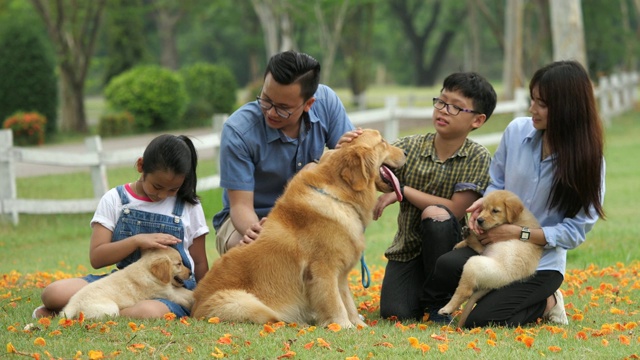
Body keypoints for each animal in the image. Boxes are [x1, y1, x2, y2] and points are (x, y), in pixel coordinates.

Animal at [62, 248, 192, 318]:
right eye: (179, 264)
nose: (191, 273)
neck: (148, 272)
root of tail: (72, 305)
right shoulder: (167, 294)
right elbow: (183, 300)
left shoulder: (171, 290)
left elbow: (187, 292)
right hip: (111, 308)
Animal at [192, 129, 408, 330]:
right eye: (382, 142)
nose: (406, 152)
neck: (340, 197)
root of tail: (194, 306)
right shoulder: (323, 270)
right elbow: (335, 302)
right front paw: (343, 326)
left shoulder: (340, 274)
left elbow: (347, 301)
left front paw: (358, 325)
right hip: (244, 303)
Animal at [438, 190, 544, 328]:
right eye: (483, 208)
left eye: (495, 210)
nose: (478, 220)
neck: (517, 219)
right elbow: (480, 240)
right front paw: (462, 241)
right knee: (479, 248)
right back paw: (466, 236)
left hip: (476, 264)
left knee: (465, 291)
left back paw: (447, 309)